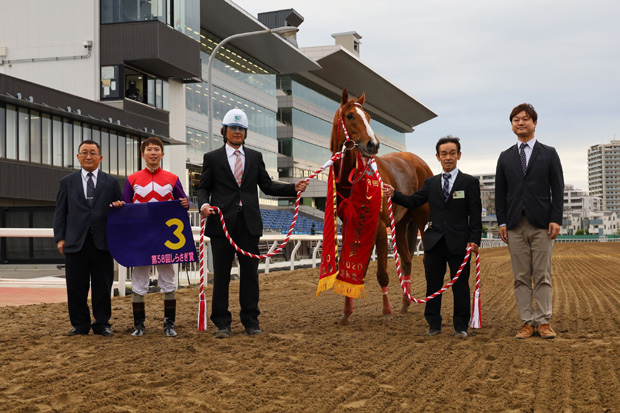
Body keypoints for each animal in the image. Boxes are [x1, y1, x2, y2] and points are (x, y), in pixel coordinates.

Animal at [330, 88, 433, 325]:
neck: (353, 180)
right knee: (406, 260)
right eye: (350, 116)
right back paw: (405, 303)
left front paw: (386, 312)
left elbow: (381, 274)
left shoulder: (378, 226)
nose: (373, 144)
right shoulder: (350, 225)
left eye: (369, 117)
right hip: (402, 224)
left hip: (422, 219)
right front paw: (346, 312)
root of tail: (418, 161)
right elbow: (352, 268)